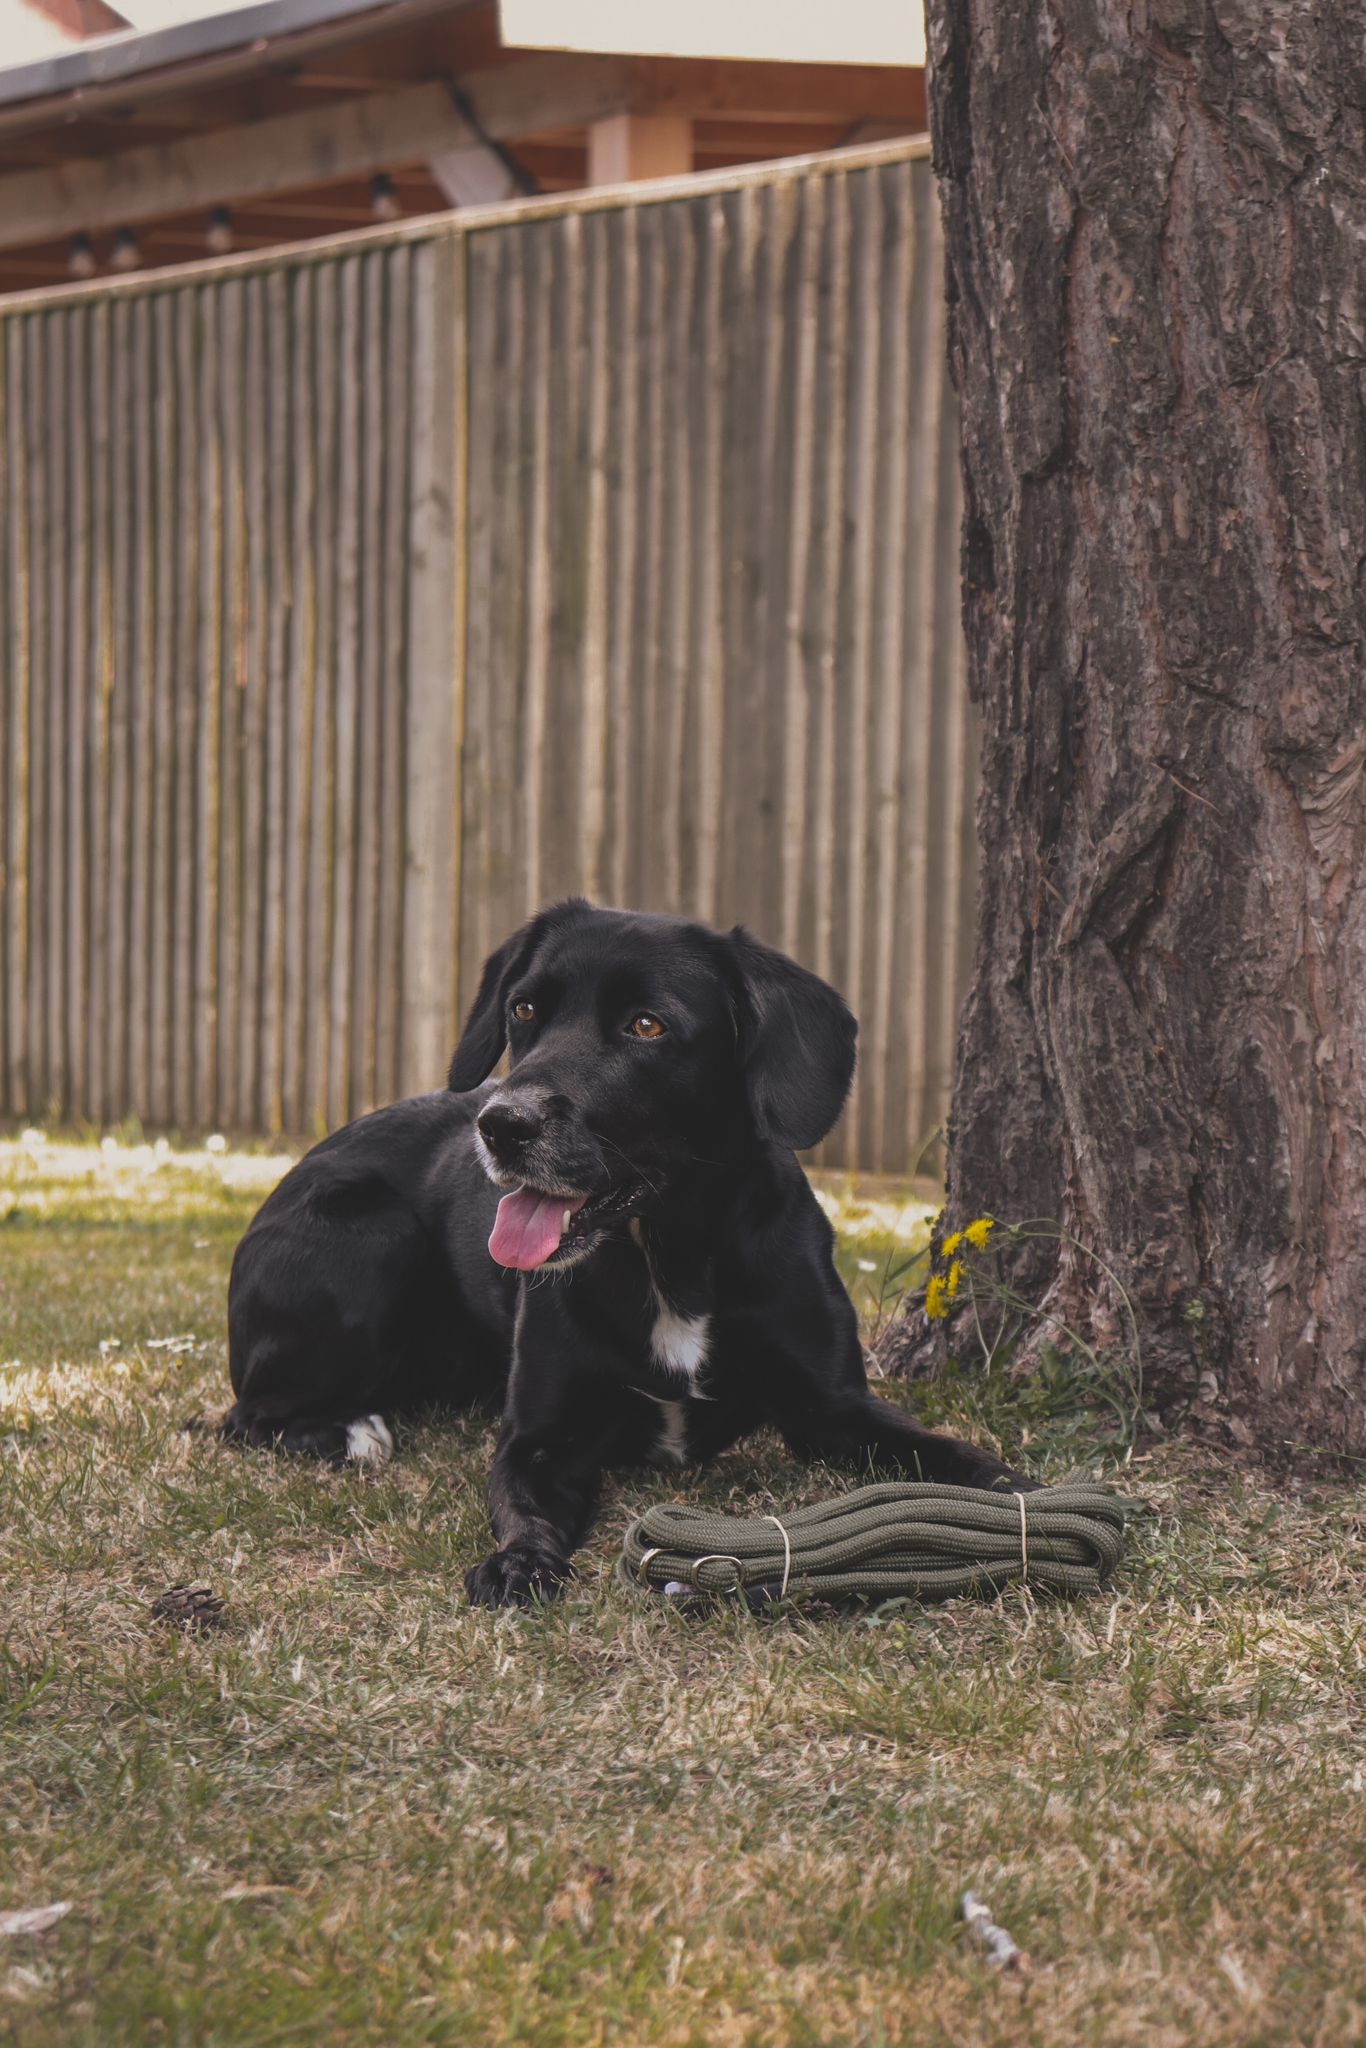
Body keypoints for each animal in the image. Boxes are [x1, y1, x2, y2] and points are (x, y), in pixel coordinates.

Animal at [224, 900, 1034, 1607]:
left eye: (647, 1026)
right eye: (524, 1010)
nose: (501, 1124)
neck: (667, 1251)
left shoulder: (835, 1408)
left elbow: (947, 1455)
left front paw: (1020, 1497)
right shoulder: (540, 1440)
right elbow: (524, 1511)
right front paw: (517, 1564)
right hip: (374, 1240)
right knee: (246, 1414)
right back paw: (351, 1431)